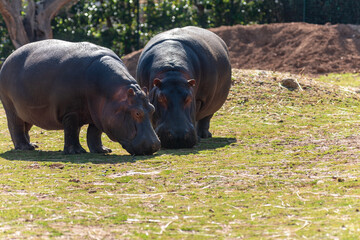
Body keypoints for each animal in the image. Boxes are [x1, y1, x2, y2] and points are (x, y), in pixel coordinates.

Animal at [0, 39, 160, 156]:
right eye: (137, 113)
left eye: (152, 109)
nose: (155, 145)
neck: (113, 95)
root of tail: (8, 58)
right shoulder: (71, 112)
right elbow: (71, 131)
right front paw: (76, 152)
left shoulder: (100, 114)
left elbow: (94, 133)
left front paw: (102, 150)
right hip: (11, 108)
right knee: (15, 126)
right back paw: (24, 147)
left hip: (26, 111)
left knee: (25, 127)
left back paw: (32, 145)